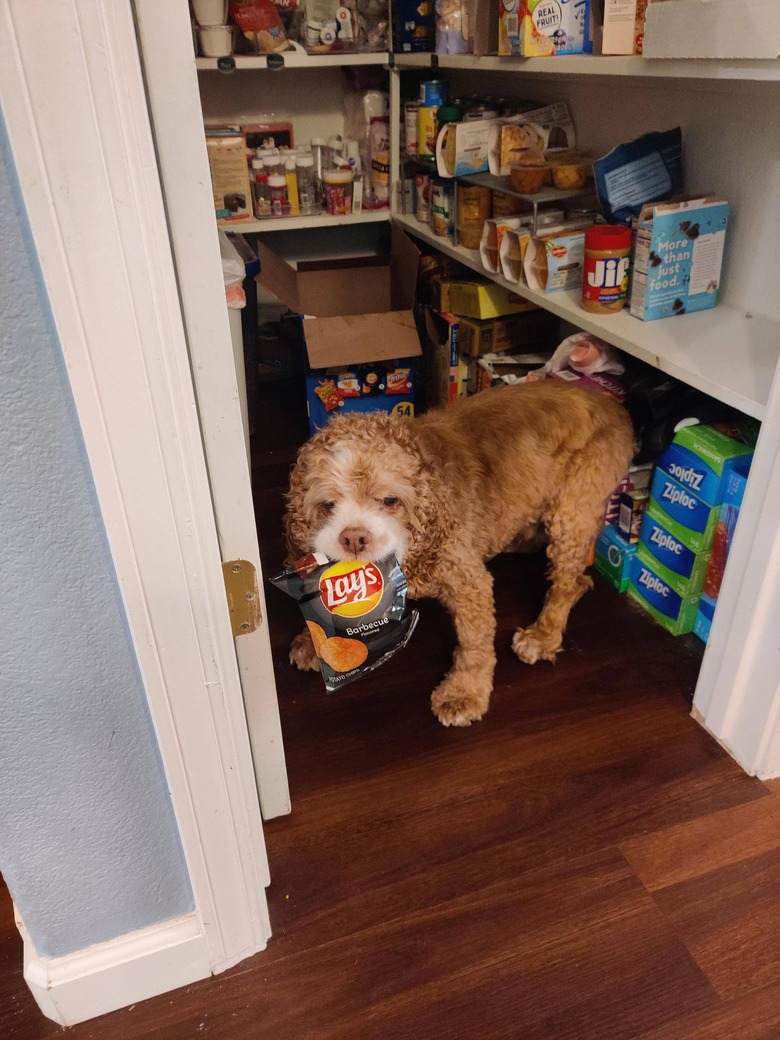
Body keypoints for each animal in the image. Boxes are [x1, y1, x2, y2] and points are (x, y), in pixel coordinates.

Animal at [284, 378, 636, 728]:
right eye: (328, 505)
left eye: (389, 501)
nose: (354, 538)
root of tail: (612, 406)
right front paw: (313, 641)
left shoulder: (467, 580)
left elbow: (474, 642)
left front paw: (464, 693)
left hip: (573, 511)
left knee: (569, 582)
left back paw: (543, 635)